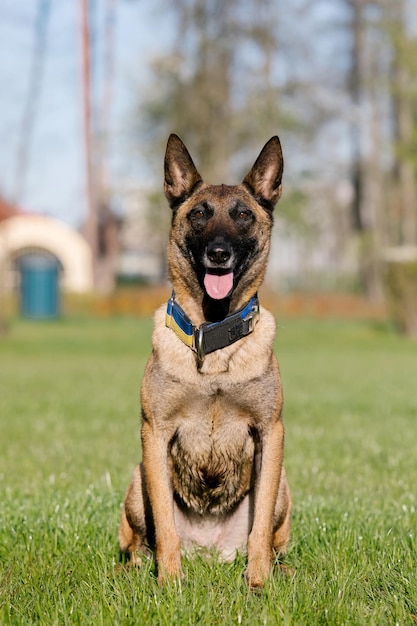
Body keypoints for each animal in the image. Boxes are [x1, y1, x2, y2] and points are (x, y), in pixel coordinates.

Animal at [118, 134, 290, 588]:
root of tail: (211, 552)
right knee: (136, 542)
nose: (219, 253)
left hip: (283, 483)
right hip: (136, 479)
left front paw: (258, 583)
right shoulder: (155, 434)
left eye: (243, 215)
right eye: (198, 214)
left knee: (273, 539)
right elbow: (165, 523)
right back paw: (140, 567)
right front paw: (170, 584)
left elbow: (259, 527)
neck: (213, 339)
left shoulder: (270, 433)